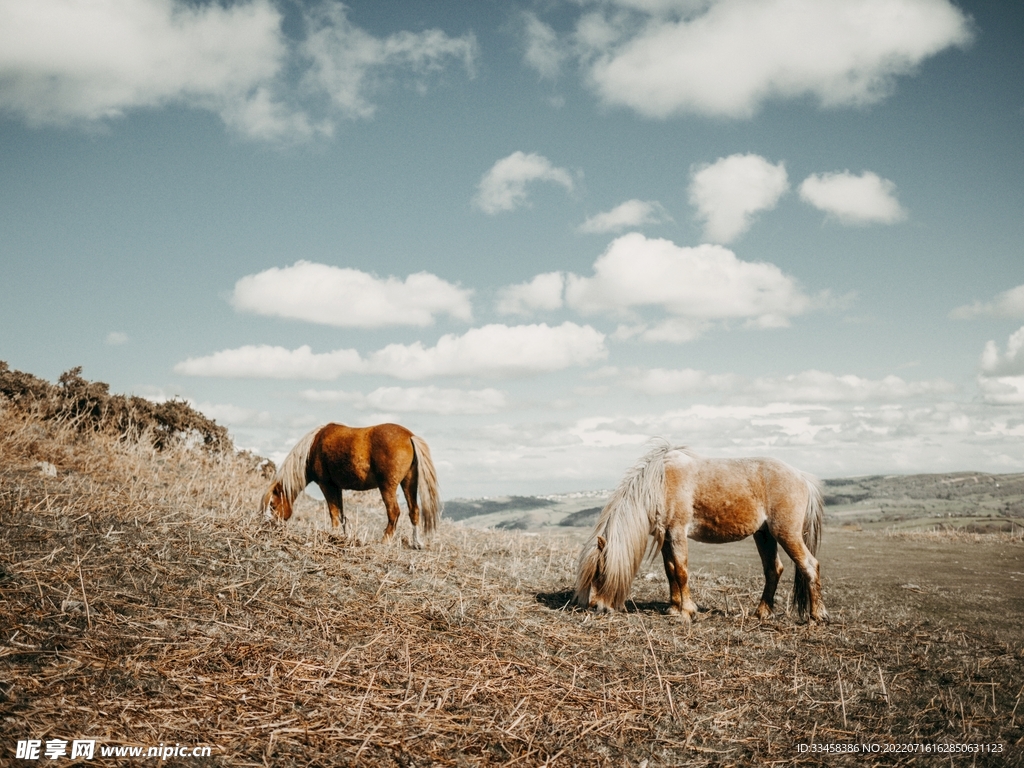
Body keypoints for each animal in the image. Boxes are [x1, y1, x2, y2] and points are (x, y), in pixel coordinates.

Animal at [260, 423, 440, 548]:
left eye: (273, 505)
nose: (268, 527)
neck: (314, 446)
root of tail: (410, 436)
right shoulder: (337, 487)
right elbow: (341, 514)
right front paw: (343, 536)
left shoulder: (327, 485)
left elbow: (333, 513)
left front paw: (332, 536)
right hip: (409, 482)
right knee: (414, 511)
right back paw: (416, 543)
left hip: (388, 487)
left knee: (394, 512)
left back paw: (385, 541)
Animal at [573, 444, 827, 626]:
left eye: (599, 573)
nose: (596, 607)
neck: (660, 483)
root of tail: (801, 476)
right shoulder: (666, 537)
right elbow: (670, 571)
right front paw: (673, 608)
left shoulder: (677, 532)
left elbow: (682, 571)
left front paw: (687, 612)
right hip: (764, 535)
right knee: (773, 569)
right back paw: (762, 613)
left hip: (786, 533)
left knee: (809, 565)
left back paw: (817, 616)